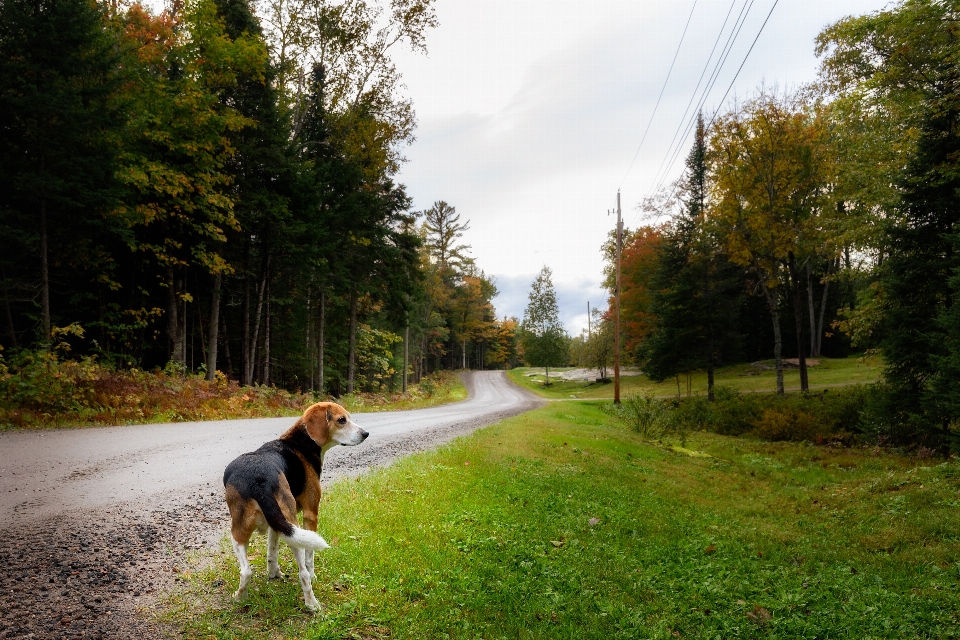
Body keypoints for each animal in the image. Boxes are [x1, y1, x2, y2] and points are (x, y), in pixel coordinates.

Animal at [222, 402, 368, 612]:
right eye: (342, 420)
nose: (366, 434)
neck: (299, 442)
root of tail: (258, 480)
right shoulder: (310, 515)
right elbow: (309, 558)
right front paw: (313, 575)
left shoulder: (277, 524)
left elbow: (272, 552)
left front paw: (274, 574)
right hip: (293, 526)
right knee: (303, 572)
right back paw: (312, 604)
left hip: (241, 530)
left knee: (246, 571)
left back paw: (240, 597)